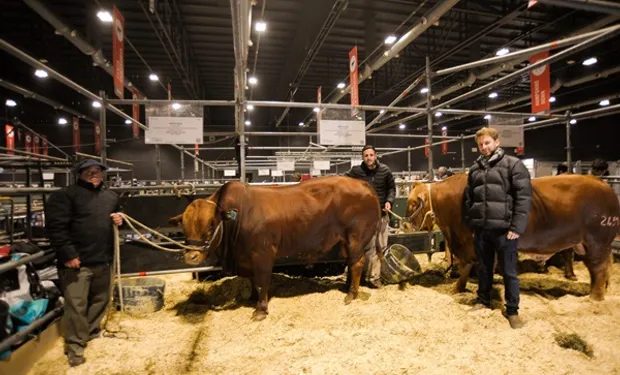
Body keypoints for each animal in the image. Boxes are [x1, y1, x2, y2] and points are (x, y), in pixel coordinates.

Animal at [172, 176, 380, 320]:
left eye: (211, 225)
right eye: (184, 227)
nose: (191, 257)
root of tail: (363, 184)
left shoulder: (263, 254)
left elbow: (262, 281)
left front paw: (260, 310)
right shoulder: (246, 258)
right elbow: (252, 280)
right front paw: (251, 298)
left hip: (355, 238)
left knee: (357, 263)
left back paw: (351, 294)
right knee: (351, 263)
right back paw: (347, 288)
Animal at [406, 175, 620, 302]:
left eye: (411, 204)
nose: (405, 225)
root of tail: (604, 185)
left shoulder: (467, 242)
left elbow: (467, 266)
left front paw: (459, 288)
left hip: (597, 241)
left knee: (599, 269)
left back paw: (594, 298)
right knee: (597, 269)